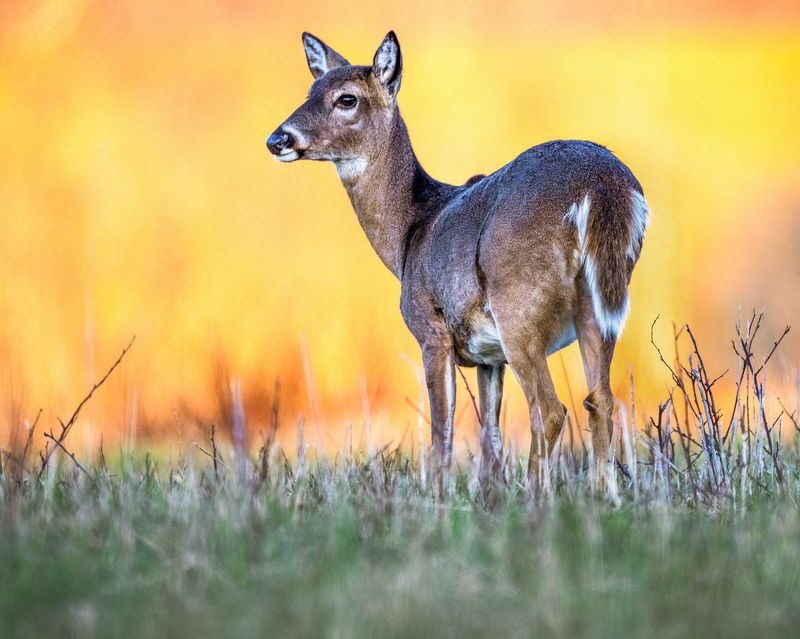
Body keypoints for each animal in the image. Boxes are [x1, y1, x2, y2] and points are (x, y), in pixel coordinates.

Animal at [266, 31, 649, 488]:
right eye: (310, 91)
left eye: (346, 99)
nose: (277, 139)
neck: (410, 232)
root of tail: (603, 186)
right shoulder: (489, 357)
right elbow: (490, 437)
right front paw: (489, 494)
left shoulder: (431, 330)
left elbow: (441, 438)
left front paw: (438, 496)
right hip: (599, 305)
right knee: (601, 400)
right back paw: (603, 494)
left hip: (519, 304)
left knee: (551, 410)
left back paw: (537, 495)